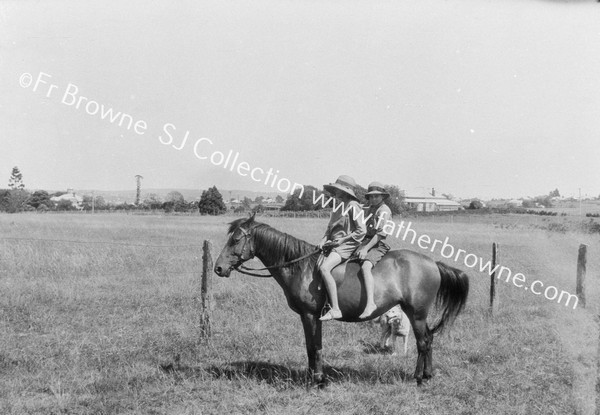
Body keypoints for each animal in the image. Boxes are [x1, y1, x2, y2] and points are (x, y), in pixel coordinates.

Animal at [213, 214, 472, 386]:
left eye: (235, 240)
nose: (218, 268)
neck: (301, 267)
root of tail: (433, 264)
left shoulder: (310, 315)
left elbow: (314, 347)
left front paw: (316, 380)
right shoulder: (309, 317)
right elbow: (311, 347)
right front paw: (313, 377)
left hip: (416, 313)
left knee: (423, 342)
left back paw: (419, 378)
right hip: (418, 314)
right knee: (429, 339)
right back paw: (428, 375)